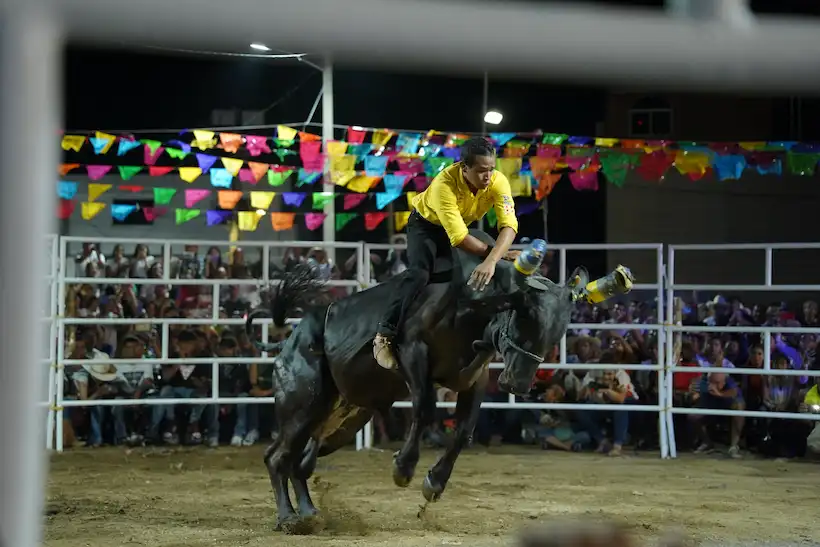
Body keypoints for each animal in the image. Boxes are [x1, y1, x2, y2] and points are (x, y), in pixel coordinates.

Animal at [247, 231, 624, 532]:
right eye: (526, 318)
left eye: (558, 332)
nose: (517, 383)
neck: (471, 305)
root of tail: (288, 341)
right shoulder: (414, 353)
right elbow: (425, 409)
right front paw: (403, 468)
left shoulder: (474, 379)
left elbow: (464, 430)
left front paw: (434, 483)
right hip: (302, 406)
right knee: (277, 458)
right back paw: (288, 518)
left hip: (342, 420)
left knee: (299, 463)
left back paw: (309, 513)